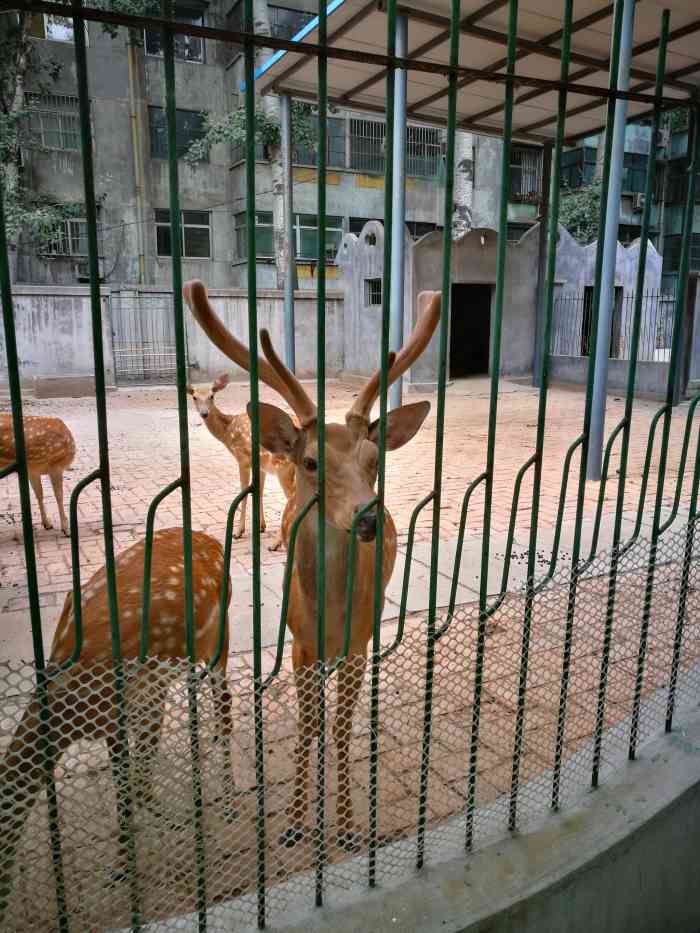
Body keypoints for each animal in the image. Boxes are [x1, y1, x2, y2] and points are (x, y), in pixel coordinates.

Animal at [0, 524, 235, 912]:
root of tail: (210, 539)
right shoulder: (120, 716)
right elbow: (128, 787)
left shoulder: (115, 715)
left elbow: (124, 793)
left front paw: (124, 869)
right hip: (160, 681)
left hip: (220, 639)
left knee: (225, 707)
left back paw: (229, 796)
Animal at [186, 374, 296, 548]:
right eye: (194, 397)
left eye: (212, 395)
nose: (204, 413)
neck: (228, 432)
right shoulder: (261, 465)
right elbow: (259, 491)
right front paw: (261, 526)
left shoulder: (242, 459)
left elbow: (244, 492)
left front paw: (239, 531)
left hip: (283, 468)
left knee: (291, 496)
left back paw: (276, 543)